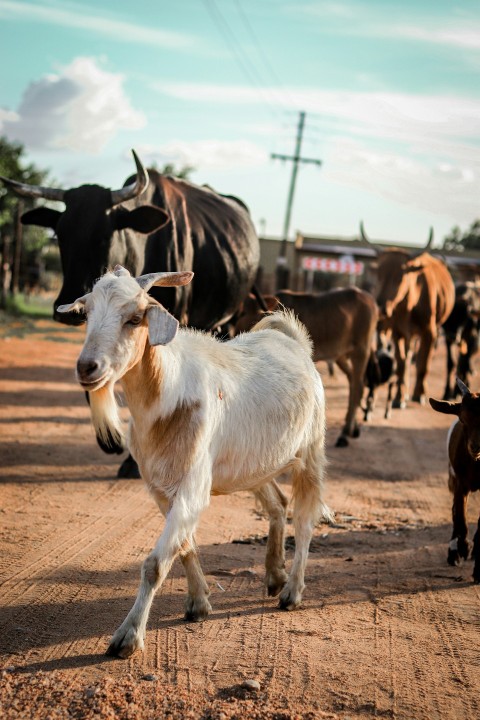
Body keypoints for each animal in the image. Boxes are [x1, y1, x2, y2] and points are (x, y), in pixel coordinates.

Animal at [58, 266, 330, 660]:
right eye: (87, 313)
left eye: (134, 318)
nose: (87, 367)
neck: (165, 399)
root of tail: (292, 339)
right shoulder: (161, 489)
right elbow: (184, 546)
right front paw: (199, 603)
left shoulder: (192, 486)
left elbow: (155, 564)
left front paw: (128, 637)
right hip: (251, 463)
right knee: (278, 504)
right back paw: (273, 575)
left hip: (310, 452)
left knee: (307, 519)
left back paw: (292, 592)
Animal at [234, 286, 376, 444]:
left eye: (242, 313)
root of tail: (369, 298)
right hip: (341, 355)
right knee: (354, 383)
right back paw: (353, 428)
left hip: (361, 351)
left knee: (357, 386)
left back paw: (345, 433)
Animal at [362, 222, 456, 408]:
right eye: (378, 275)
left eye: (400, 277)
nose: (380, 307)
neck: (411, 303)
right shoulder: (398, 333)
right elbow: (401, 365)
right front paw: (399, 397)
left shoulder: (429, 332)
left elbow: (423, 365)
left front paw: (419, 394)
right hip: (407, 335)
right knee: (408, 357)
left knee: (419, 358)